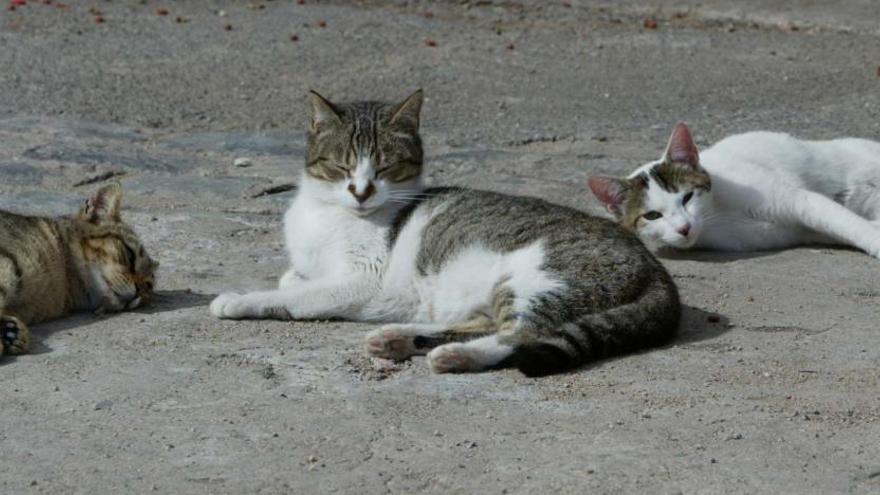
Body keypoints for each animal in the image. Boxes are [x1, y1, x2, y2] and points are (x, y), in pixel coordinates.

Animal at [588, 122, 880, 258]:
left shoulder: (799, 200)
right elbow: (840, 227)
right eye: (652, 216)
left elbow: (850, 224)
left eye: (687, 197)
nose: (684, 228)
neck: (718, 215)